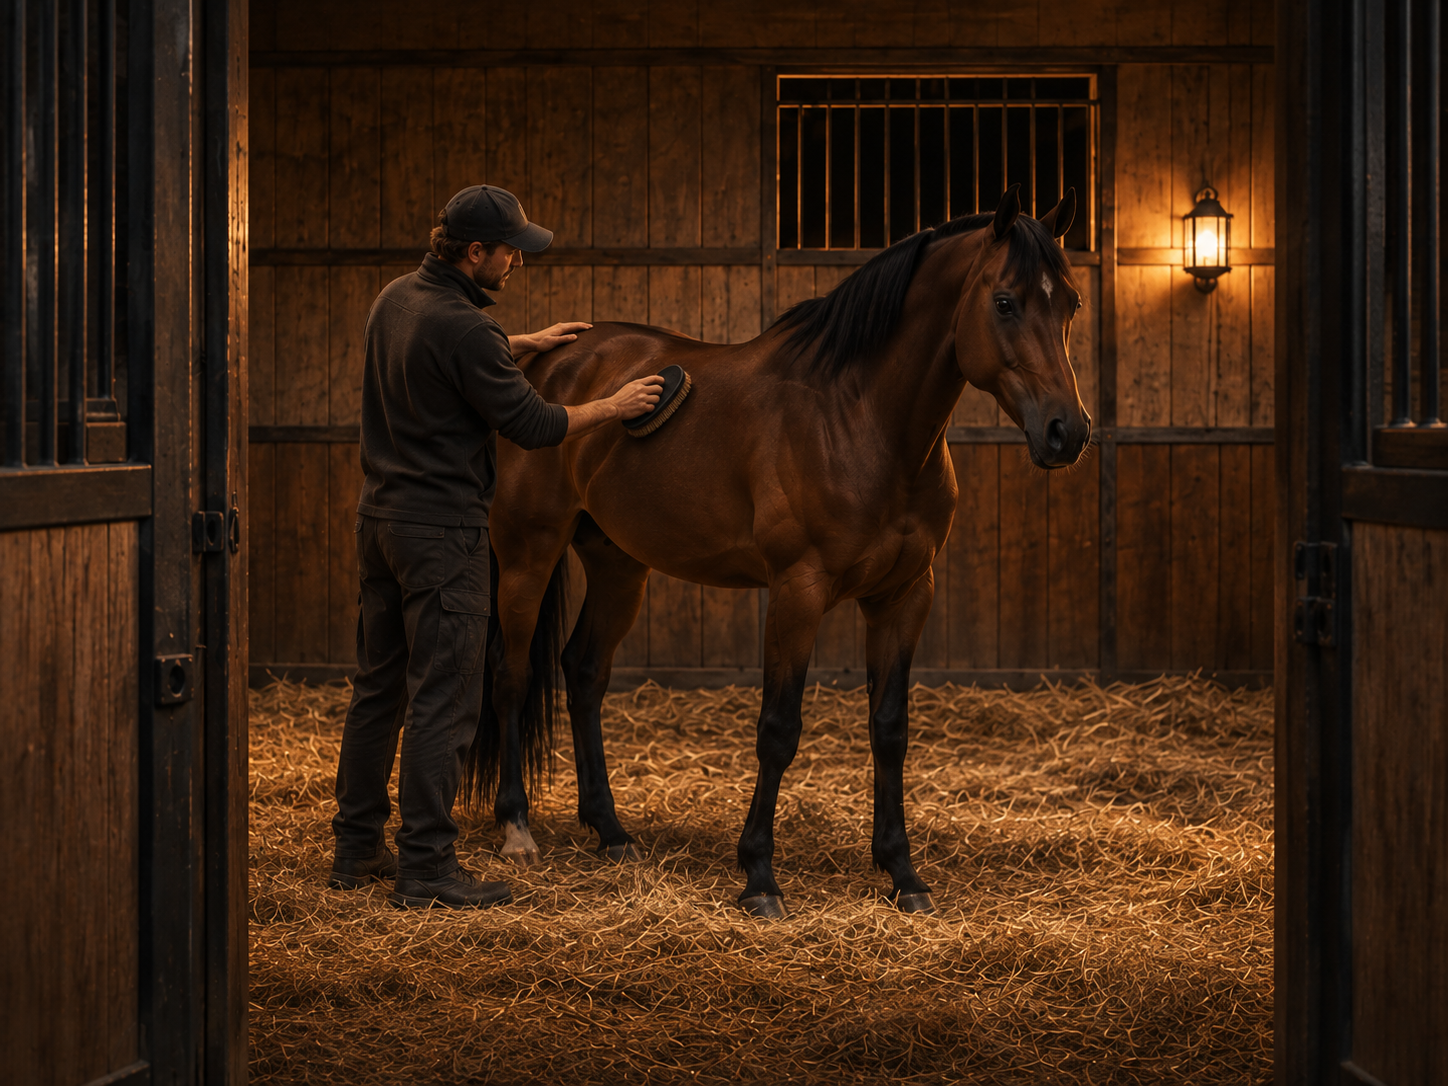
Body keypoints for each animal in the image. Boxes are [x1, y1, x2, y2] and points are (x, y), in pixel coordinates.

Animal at [465, 184, 1091, 918]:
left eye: (1070, 303)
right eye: (1006, 302)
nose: (1067, 432)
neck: (859, 421)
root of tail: (545, 358)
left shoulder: (905, 596)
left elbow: (890, 728)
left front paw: (902, 873)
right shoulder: (798, 591)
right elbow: (778, 729)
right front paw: (759, 875)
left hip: (619, 563)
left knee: (584, 673)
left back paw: (612, 832)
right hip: (528, 551)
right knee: (511, 675)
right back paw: (516, 826)